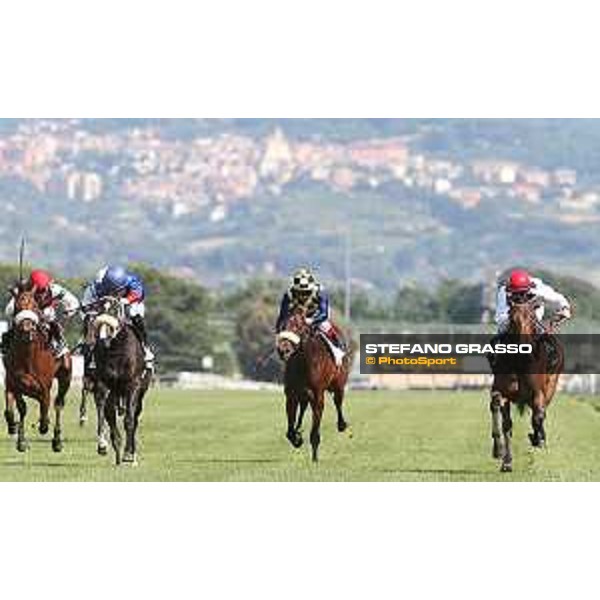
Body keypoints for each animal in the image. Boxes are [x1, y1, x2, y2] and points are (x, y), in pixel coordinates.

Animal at [3, 288, 72, 452]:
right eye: (17, 307)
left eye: (34, 306)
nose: (27, 327)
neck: (28, 356)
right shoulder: (13, 384)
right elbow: (15, 409)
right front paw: (19, 437)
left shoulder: (44, 388)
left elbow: (45, 410)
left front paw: (43, 426)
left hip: (65, 377)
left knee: (58, 404)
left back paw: (57, 440)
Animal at [87, 298, 151, 466]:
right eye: (99, 310)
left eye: (115, 310)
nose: (104, 339)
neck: (115, 351)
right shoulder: (103, 383)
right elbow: (103, 413)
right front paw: (103, 445)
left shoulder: (133, 385)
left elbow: (129, 419)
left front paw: (128, 454)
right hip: (115, 393)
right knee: (111, 414)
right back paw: (117, 451)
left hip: (140, 393)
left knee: (134, 417)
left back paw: (130, 453)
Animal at [276, 308, 352, 462]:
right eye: (282, 326)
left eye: (298, 327)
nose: (283, 350)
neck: (302, 362)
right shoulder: (291, 396)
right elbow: (289, 431)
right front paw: (297, 438)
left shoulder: (317, 396)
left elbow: (315, 430)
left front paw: (315, 457)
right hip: (304, 394)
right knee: (303, 408)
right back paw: (299, 429)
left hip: (338, 385)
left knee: (338, 402)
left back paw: (342, 424)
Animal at [490, 300, 564, 474]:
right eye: (512, 319)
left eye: (531, 318)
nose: (524, 347)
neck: (519, 361)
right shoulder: (502, 392)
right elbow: (505, 423)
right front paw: (503, 456)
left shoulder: (538, 393)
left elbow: (538, 417)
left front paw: (538, 439)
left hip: (550, 386)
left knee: (541, 413)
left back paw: (540, 437)